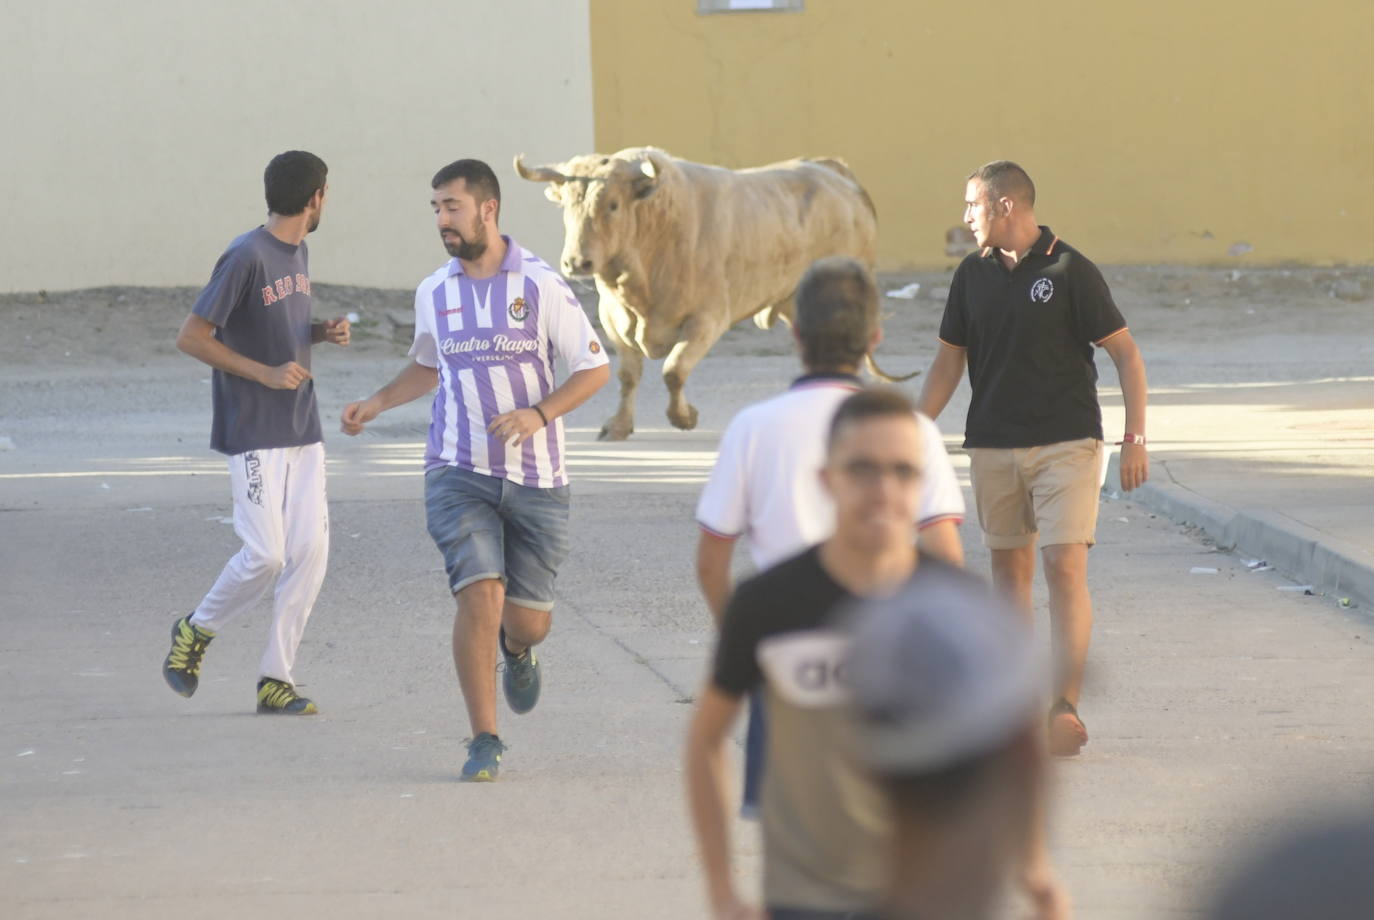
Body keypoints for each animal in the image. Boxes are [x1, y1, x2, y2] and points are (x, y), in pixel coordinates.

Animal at [516, 147, 879, 442]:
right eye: (566, 205)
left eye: (613, 205)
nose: (577, 262)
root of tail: (835, 173)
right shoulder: (613, 320)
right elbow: (628, 376)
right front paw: (618, 426)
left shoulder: (708, 319)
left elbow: (674, 370)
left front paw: (684, 417)